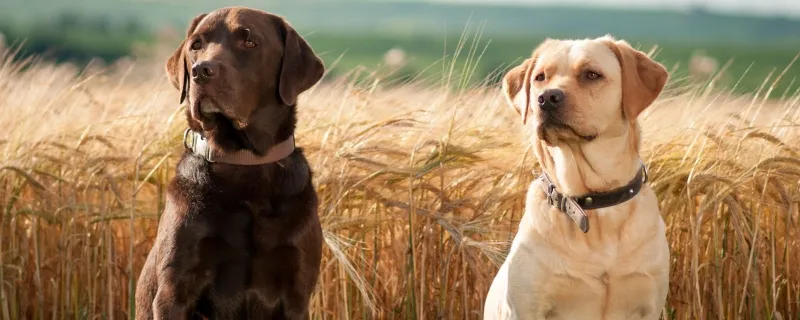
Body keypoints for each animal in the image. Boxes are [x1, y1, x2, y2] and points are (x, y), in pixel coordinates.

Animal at [136, 7, 324, 320]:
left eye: (249, 42)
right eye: (196, 45)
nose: (201, 70)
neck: (243, 158)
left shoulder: (297, 294)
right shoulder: (173, 291)